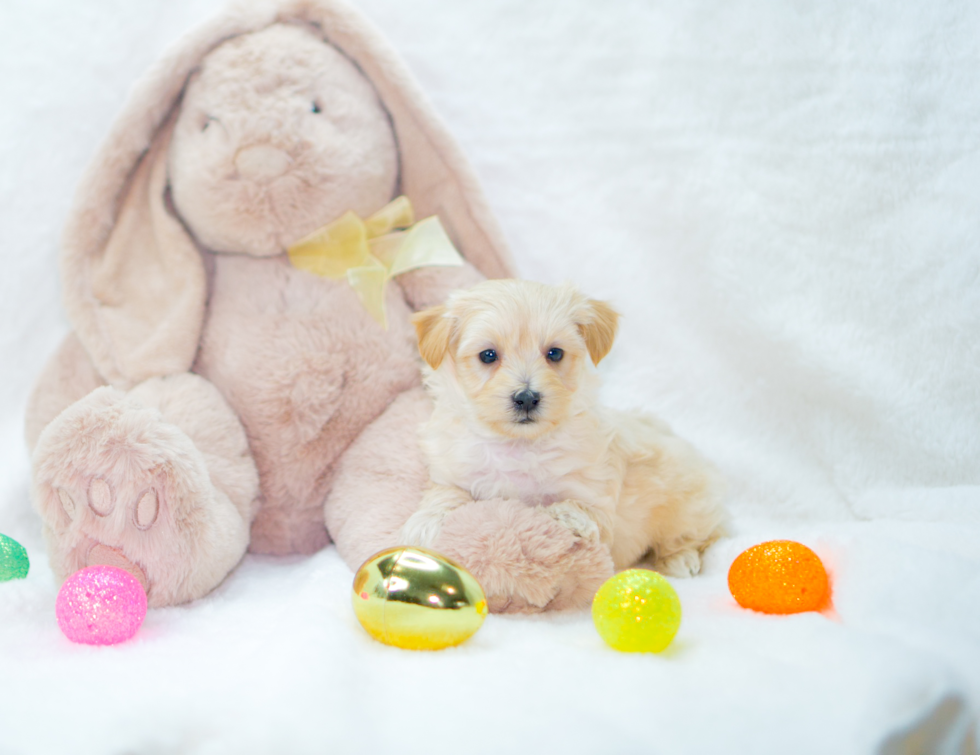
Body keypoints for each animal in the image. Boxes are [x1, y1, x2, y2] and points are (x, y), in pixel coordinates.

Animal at [398, 280, 728, 576]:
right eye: (488, 355)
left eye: (554, 353)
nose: (527, 397)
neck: (519, 444)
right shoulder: (454, 473)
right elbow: (445, 495)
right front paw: (424, 523)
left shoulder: (597, 496)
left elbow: (580, 507)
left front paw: (567, 518)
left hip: (687, 506)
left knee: (696, 535)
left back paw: (680, 559)